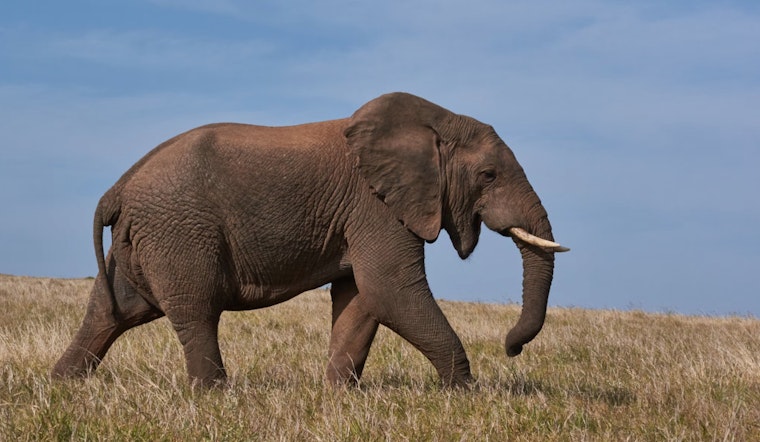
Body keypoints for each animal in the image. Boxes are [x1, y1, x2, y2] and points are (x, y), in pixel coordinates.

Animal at [52, 92, 568, 388]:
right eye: (488, 175)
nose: (512, 348)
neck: (434, 122)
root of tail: (119, 187)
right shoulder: (374, 205)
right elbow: (391, 290)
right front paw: (461, 393)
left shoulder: (363, 213)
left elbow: (361, 298)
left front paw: (338, 396)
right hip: (178, 231)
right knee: (195, 310)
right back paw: (214, 396)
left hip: (143, 239)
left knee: (113, 311)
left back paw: (63, 386)